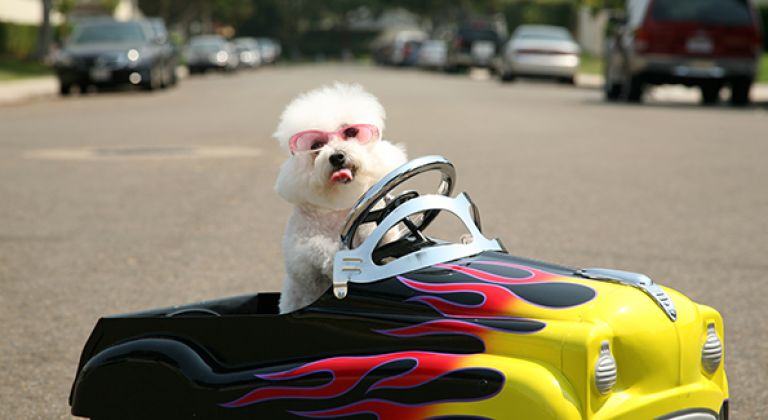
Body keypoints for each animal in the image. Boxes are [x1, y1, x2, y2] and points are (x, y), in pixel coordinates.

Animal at [276, 83, 408, 312]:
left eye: (351, 132)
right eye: (316, 145)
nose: (337, 156)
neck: (337, 207)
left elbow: (382, 233)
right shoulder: (300, 253)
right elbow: (315, 247)